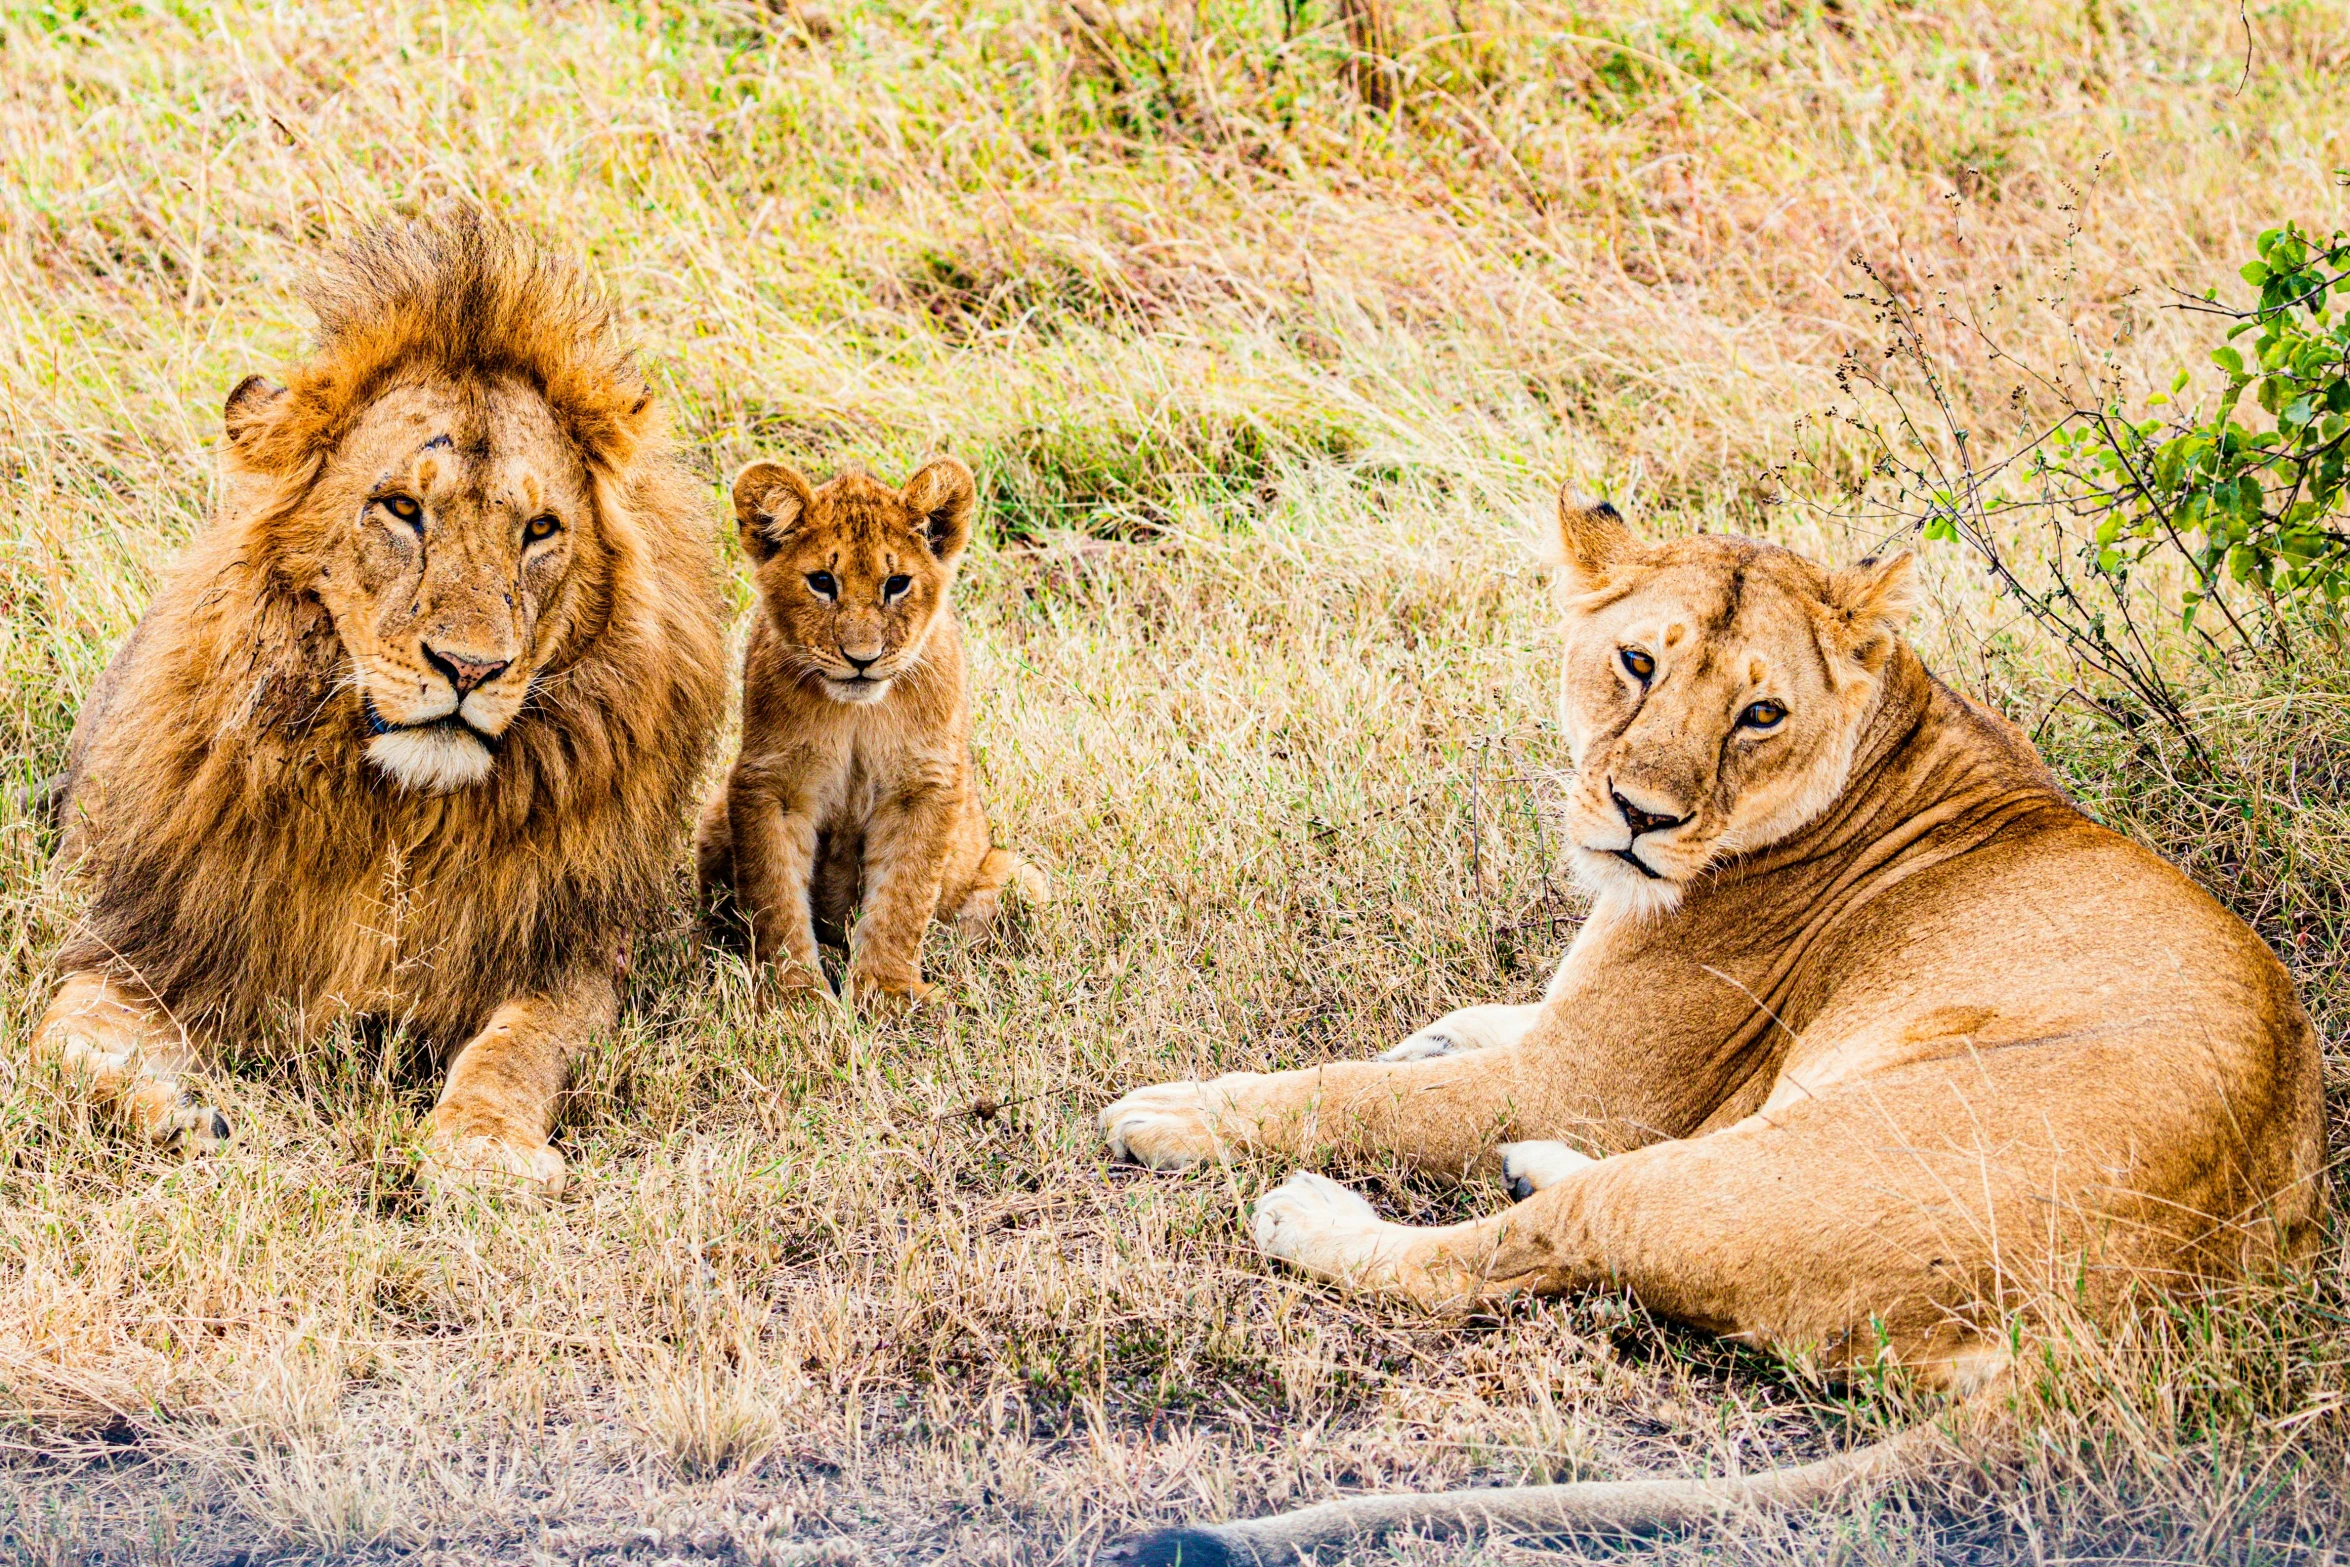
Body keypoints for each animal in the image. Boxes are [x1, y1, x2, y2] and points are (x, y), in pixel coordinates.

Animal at [27, 214, 723, 1202]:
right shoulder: (151, 935)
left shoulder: (571, 950)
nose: (470, 667)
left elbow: (519, 1046)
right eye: (400, 508)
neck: (400, 816)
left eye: (540, 529)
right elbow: (56, 1048)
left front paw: (482, 1148)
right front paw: (182, 1112)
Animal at [1095, 491, 2312, 1559]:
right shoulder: (1566, 1041)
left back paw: (1314, 1212)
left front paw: (1177, 1111)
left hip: (1754, 1167)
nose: (1640, 817)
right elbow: (1475, 1024)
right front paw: (1433, 1032)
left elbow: (1348, 1092)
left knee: (1507, 1253)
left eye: (1760, 714)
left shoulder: (1587, 1085)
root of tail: (2139, 1335)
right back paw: (1525, 1163)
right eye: (1639, 662)